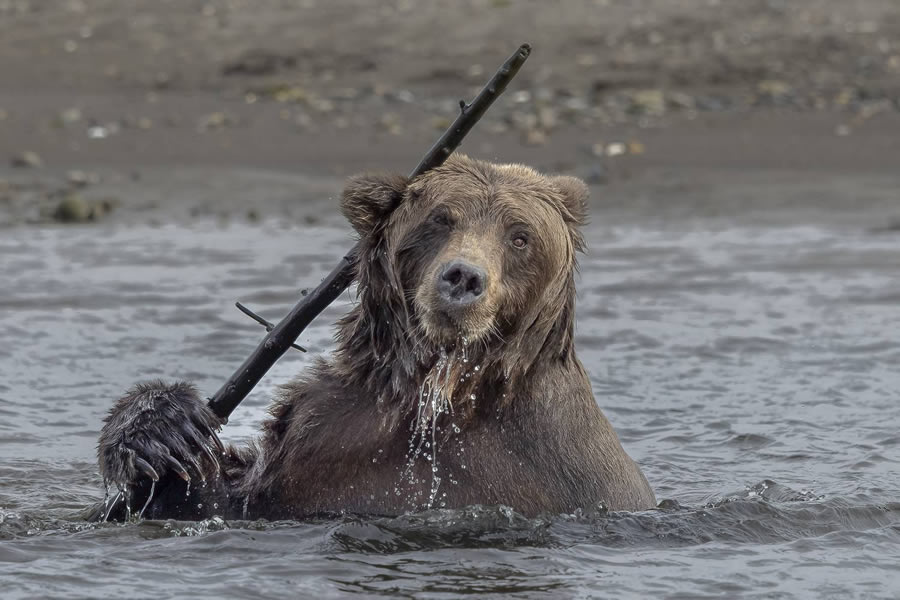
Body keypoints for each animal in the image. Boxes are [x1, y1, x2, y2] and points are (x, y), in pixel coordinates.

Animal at [89, 154, 652, 520]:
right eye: (441, 219)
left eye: (520, 236)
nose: (463, 277)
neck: (444, 387)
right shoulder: (327, 434)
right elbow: (216, 492)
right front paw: (165, 428)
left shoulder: (559, 463)